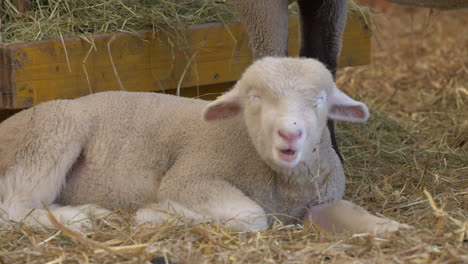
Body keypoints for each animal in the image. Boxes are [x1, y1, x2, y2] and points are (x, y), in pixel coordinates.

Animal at [0, 56, 410, 234]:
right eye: (254, 98)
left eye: (320, 100)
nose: (290, 134)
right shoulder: (191, 176)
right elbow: (252, 216)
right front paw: (160, 215)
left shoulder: (321, 201)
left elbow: (354, 215)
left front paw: (389, 227)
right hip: (53, 131)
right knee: (15, 207)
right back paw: (81, 218)